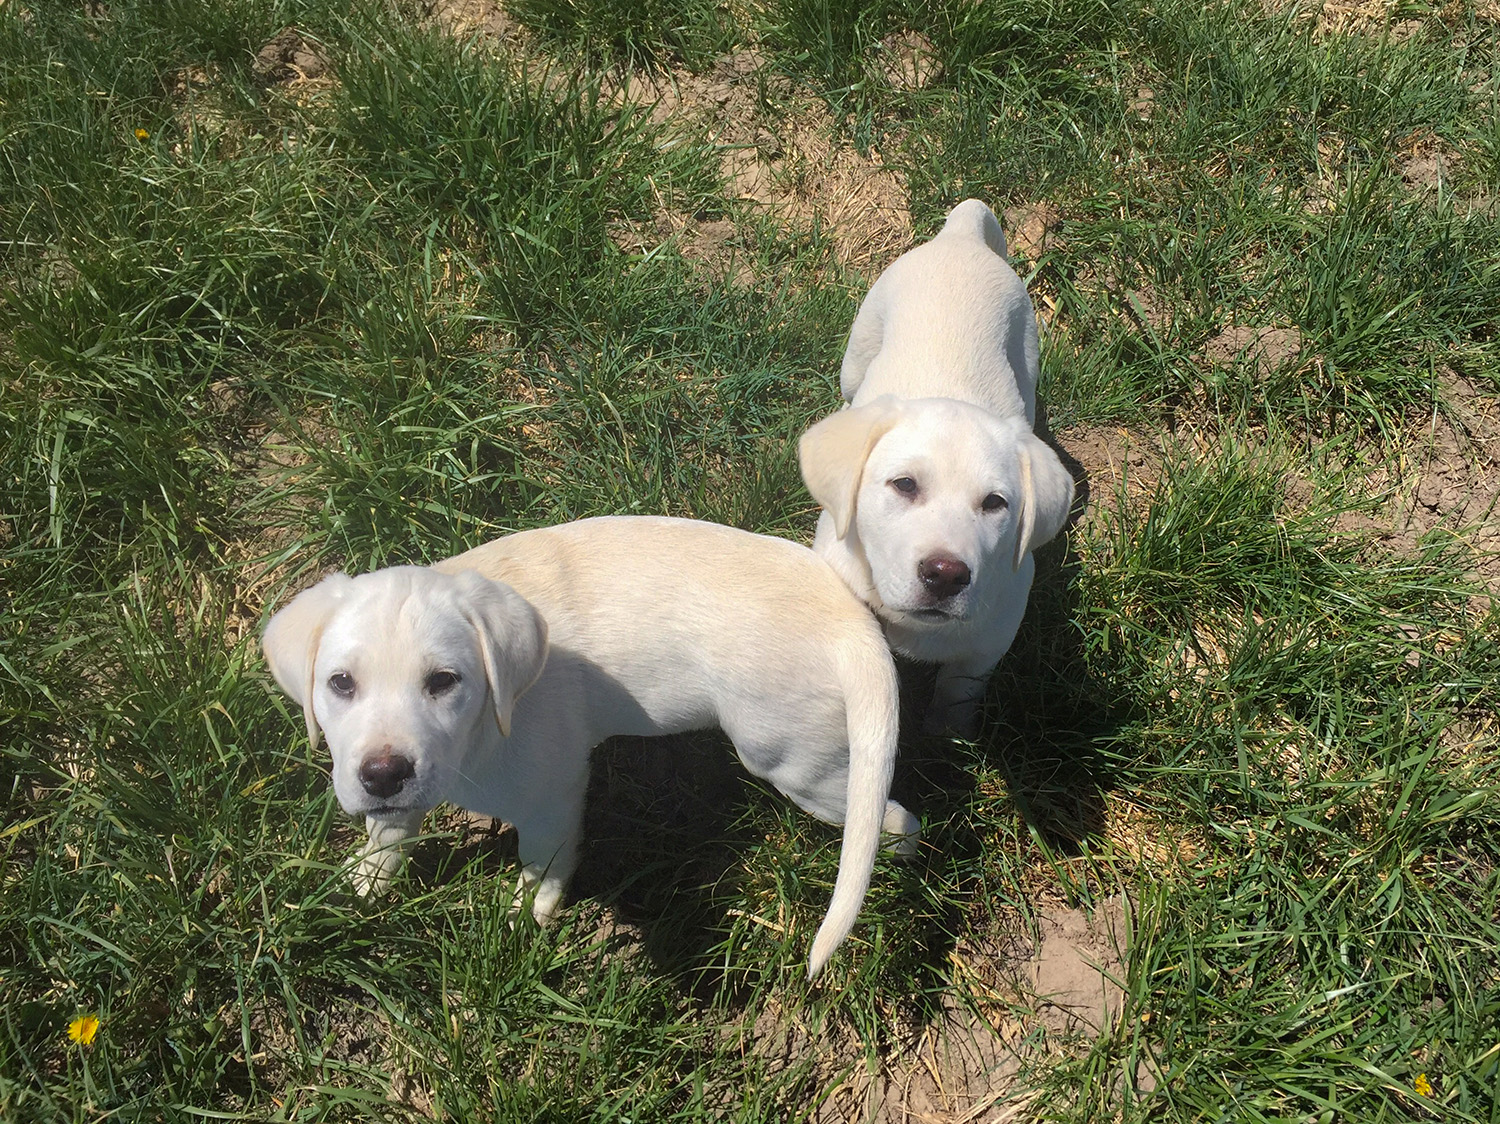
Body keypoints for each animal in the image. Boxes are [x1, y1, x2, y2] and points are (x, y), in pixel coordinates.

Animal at [264, 516, 918, 972]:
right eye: (340, 684)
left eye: (444, 682)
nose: (382, 774)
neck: (487, 724)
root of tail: (852, 624)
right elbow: (391, 828)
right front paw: (370, 874)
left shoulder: (550, 795)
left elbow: (543, 858)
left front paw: (532, 907)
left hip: (795, 765)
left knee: (893, 816)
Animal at [798, 201, 1080, 735]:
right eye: (904, 485)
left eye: (995, 503)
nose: (946, 575)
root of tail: (961, 239)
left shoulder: (987, 645)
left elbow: (956, 695)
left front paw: (947, 740)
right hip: (862, 344)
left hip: (1026, 348)